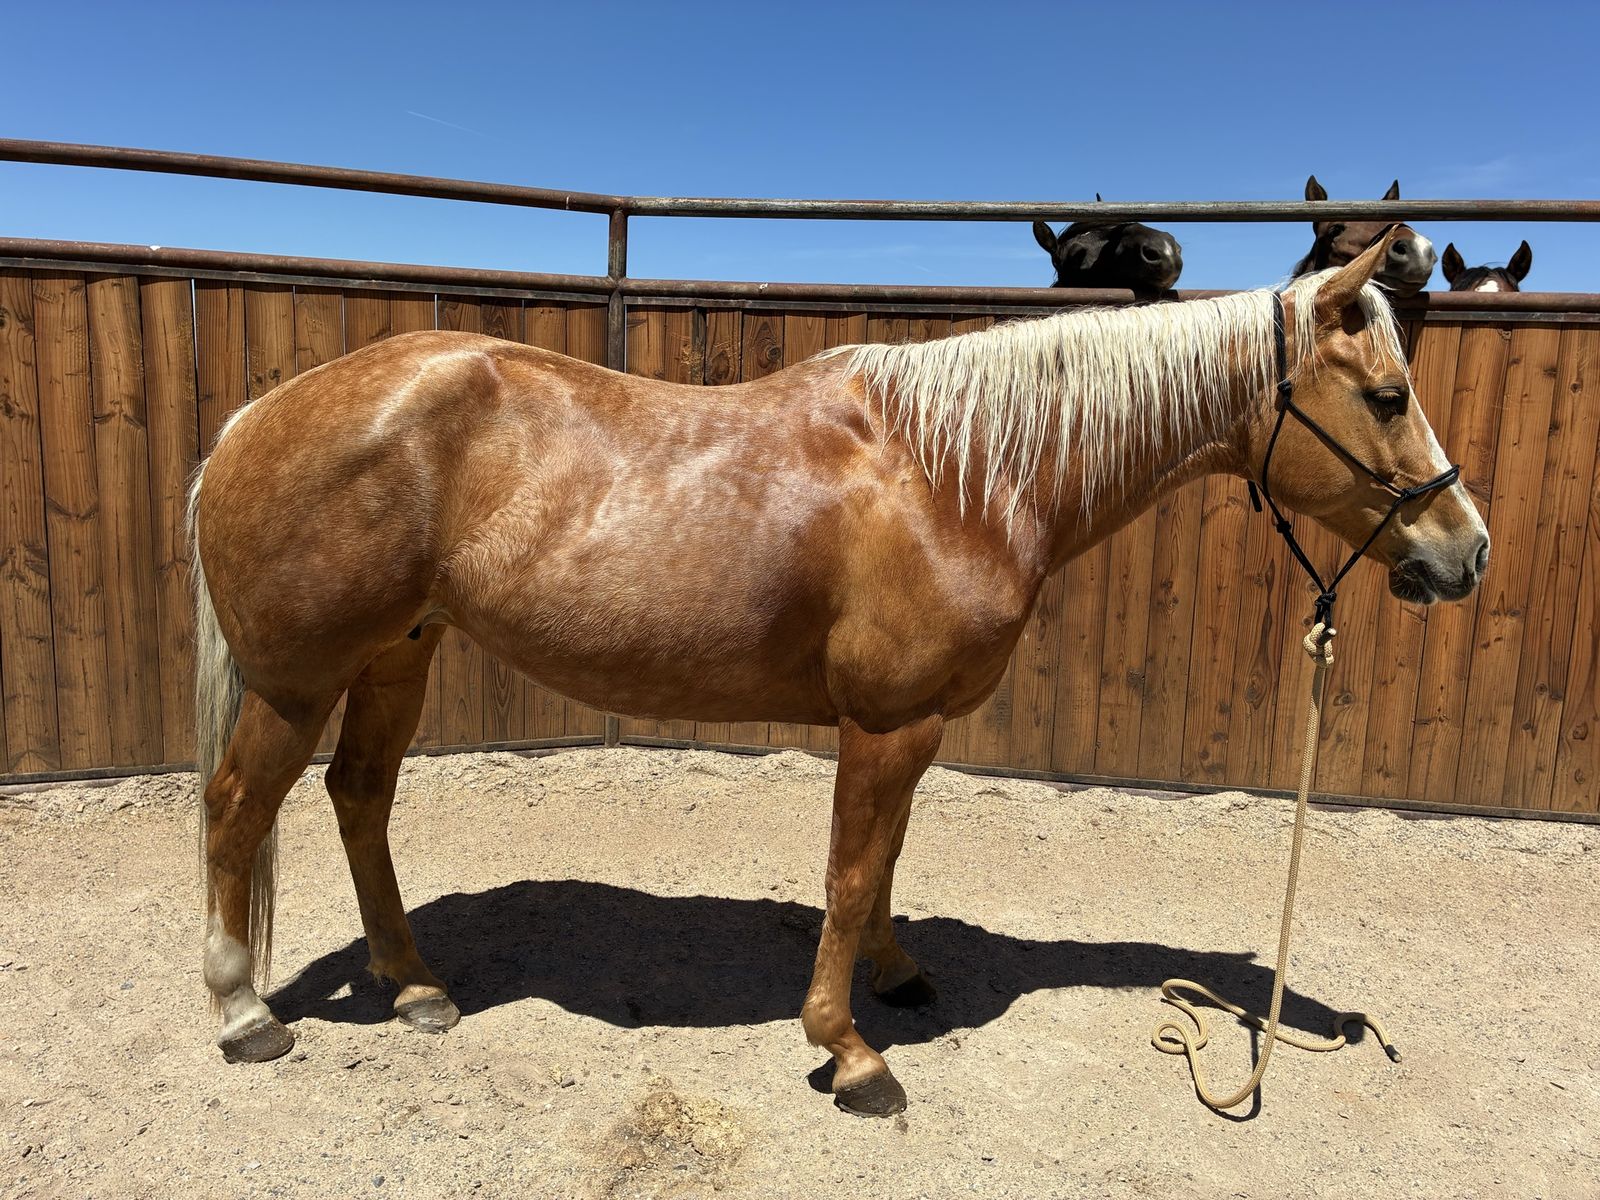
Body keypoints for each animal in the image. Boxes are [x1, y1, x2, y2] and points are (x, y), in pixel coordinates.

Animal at [189, 229, 1487, 1117]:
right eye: (1385, 396)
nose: (1463, 551)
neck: (955, 473)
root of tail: (258, 414)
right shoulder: (889, 722)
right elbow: (853, 868)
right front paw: (847, 1048)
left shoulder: (915, 725)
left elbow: (888, 859)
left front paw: (896, 976)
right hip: (297, 682)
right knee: (238, 808)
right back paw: (244, 1010)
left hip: (396, 656)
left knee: (359, 799)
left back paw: (415, 988)